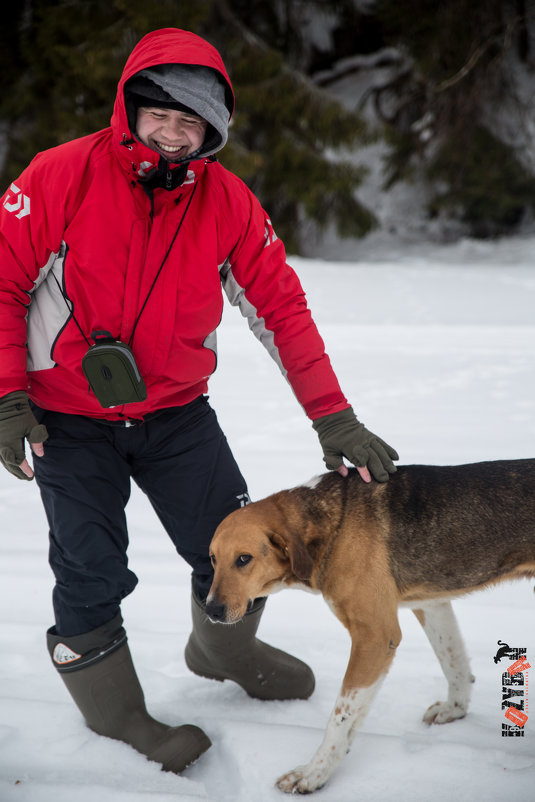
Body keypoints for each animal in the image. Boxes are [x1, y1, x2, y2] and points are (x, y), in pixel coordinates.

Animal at [205, 460, 535, 792]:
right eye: (212, 559)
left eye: (243, 559)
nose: (211, 610)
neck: (333, 523)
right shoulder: (431, 604)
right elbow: (453, 662)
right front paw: (455, 709)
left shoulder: (375, 636)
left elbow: (340, 716)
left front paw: (314, 773)